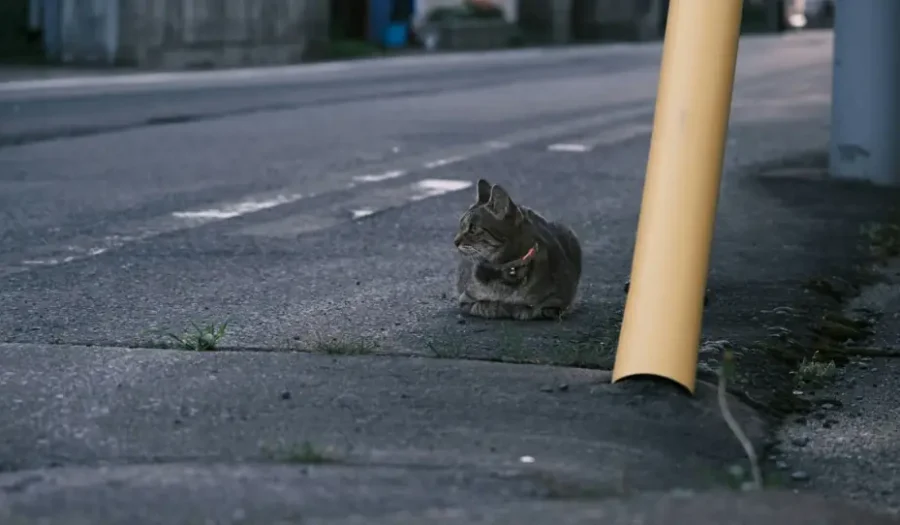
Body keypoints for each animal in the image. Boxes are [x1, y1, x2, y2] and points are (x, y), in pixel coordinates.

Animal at [450, 179, 584, 320]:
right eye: (461, 226)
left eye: (473, 228)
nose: (455, 241)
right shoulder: (465, 298)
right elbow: (482, 305)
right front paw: (497, 307)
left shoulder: (560, 300)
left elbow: (536, 308)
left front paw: (518, 308)